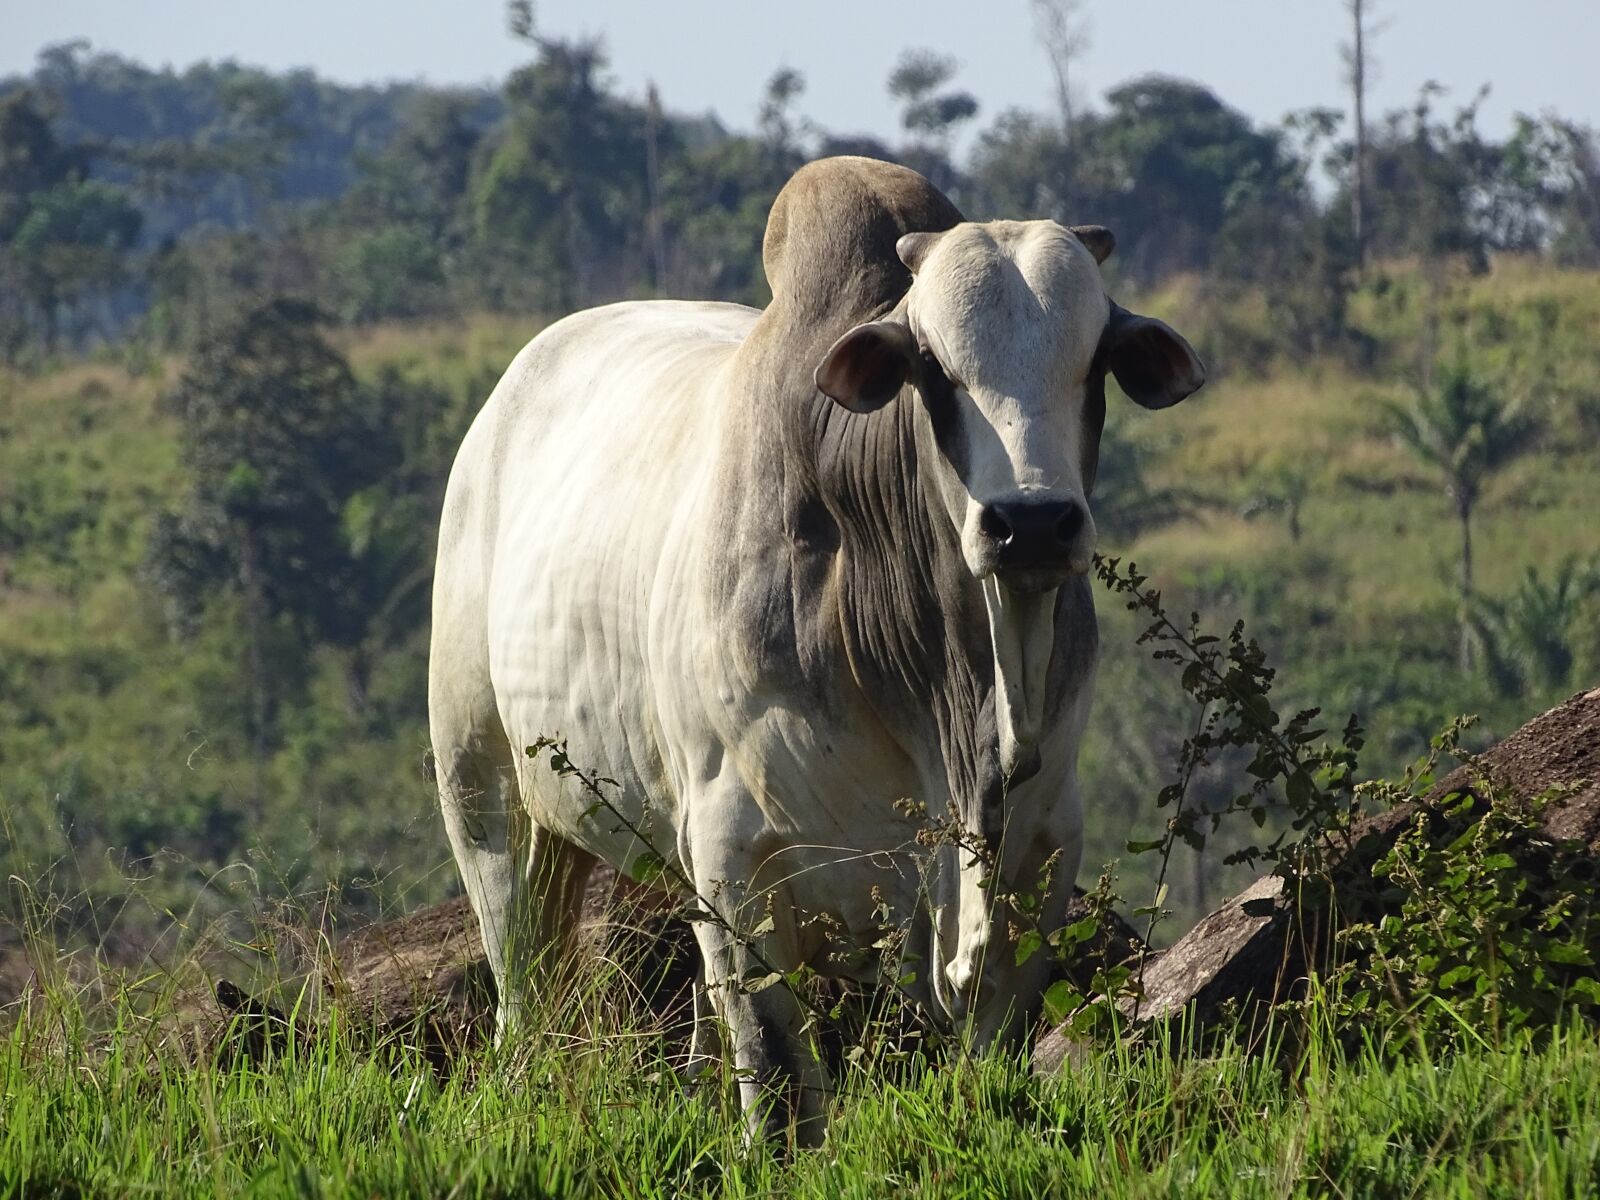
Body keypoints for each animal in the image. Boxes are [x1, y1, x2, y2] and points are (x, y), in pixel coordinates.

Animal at [428, 156, 1203, 1145]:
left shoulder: (1042, 849)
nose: (1030, 524)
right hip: (485, 792)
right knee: (524, 984)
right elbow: (775, 1063)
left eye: (1096, 359)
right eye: (931, 366)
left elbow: (989, 1045)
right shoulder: (734, 852)